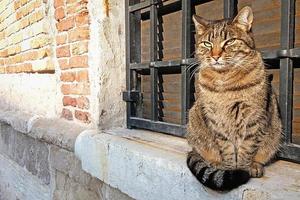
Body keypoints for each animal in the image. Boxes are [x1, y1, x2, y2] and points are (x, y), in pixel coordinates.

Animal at [186, 6, 282, 191]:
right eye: (207, 43)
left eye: (229, 42)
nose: (215, 56)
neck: (224, 81)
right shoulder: (217, 121)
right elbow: (227, 149)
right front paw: (231, 169)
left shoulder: (253, 119)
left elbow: (247, 149)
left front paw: (243, 168)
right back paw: (215, 163)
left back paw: (255, 166)